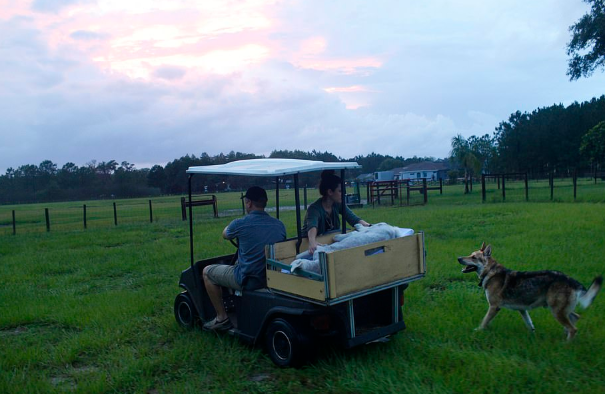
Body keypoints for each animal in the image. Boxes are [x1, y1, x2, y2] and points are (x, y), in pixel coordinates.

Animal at [458, 242, 600, 340]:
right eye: (470, 254)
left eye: (474, 257)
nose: (458, 258)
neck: (490, 272)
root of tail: (571, 280)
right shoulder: (522, 309)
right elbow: (530, 324)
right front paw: (533, 336)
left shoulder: (494, 307)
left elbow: (484, 322)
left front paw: (477, 331)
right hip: (561, 309)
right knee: (575, 318)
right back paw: (565, 336)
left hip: (556, 310)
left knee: (573, 328)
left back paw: (566, 344)